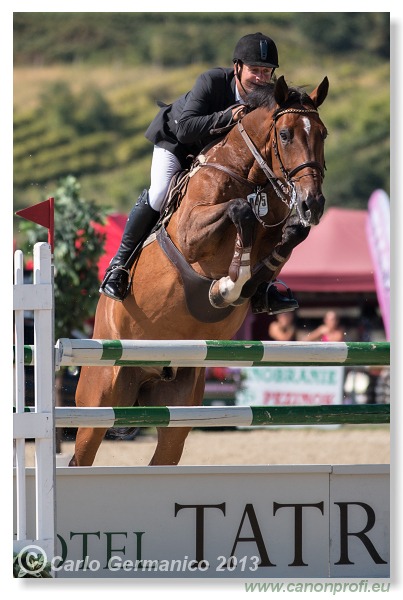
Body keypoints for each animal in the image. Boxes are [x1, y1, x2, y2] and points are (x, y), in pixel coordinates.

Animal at [69, 75, 330, 466]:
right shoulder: (192, 233)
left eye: (323, 134)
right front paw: (226, 286)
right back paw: (115, 279)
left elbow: (289, 236)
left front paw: (251, 286)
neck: (249, 175)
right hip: (100, 399)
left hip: (178, 411)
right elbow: (240, 211)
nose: (312, 204)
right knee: (81, 454)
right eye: (285, 135)